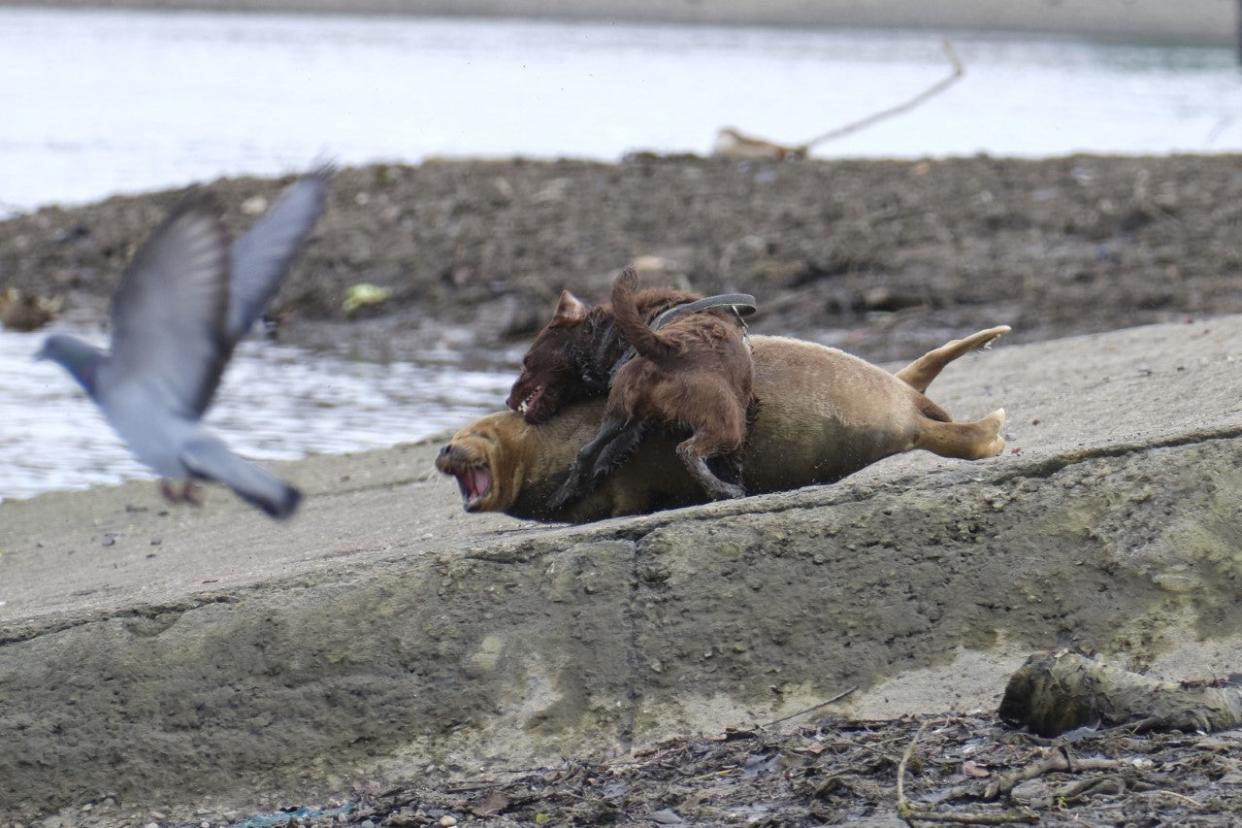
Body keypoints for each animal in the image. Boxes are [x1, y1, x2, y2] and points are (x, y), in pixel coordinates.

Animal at [439, 327, 1008, 521]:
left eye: (470, 435)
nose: (443, 450)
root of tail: (911, 402)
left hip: (898, 410)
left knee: (928, 402)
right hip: (899, 410)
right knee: (927, 393)